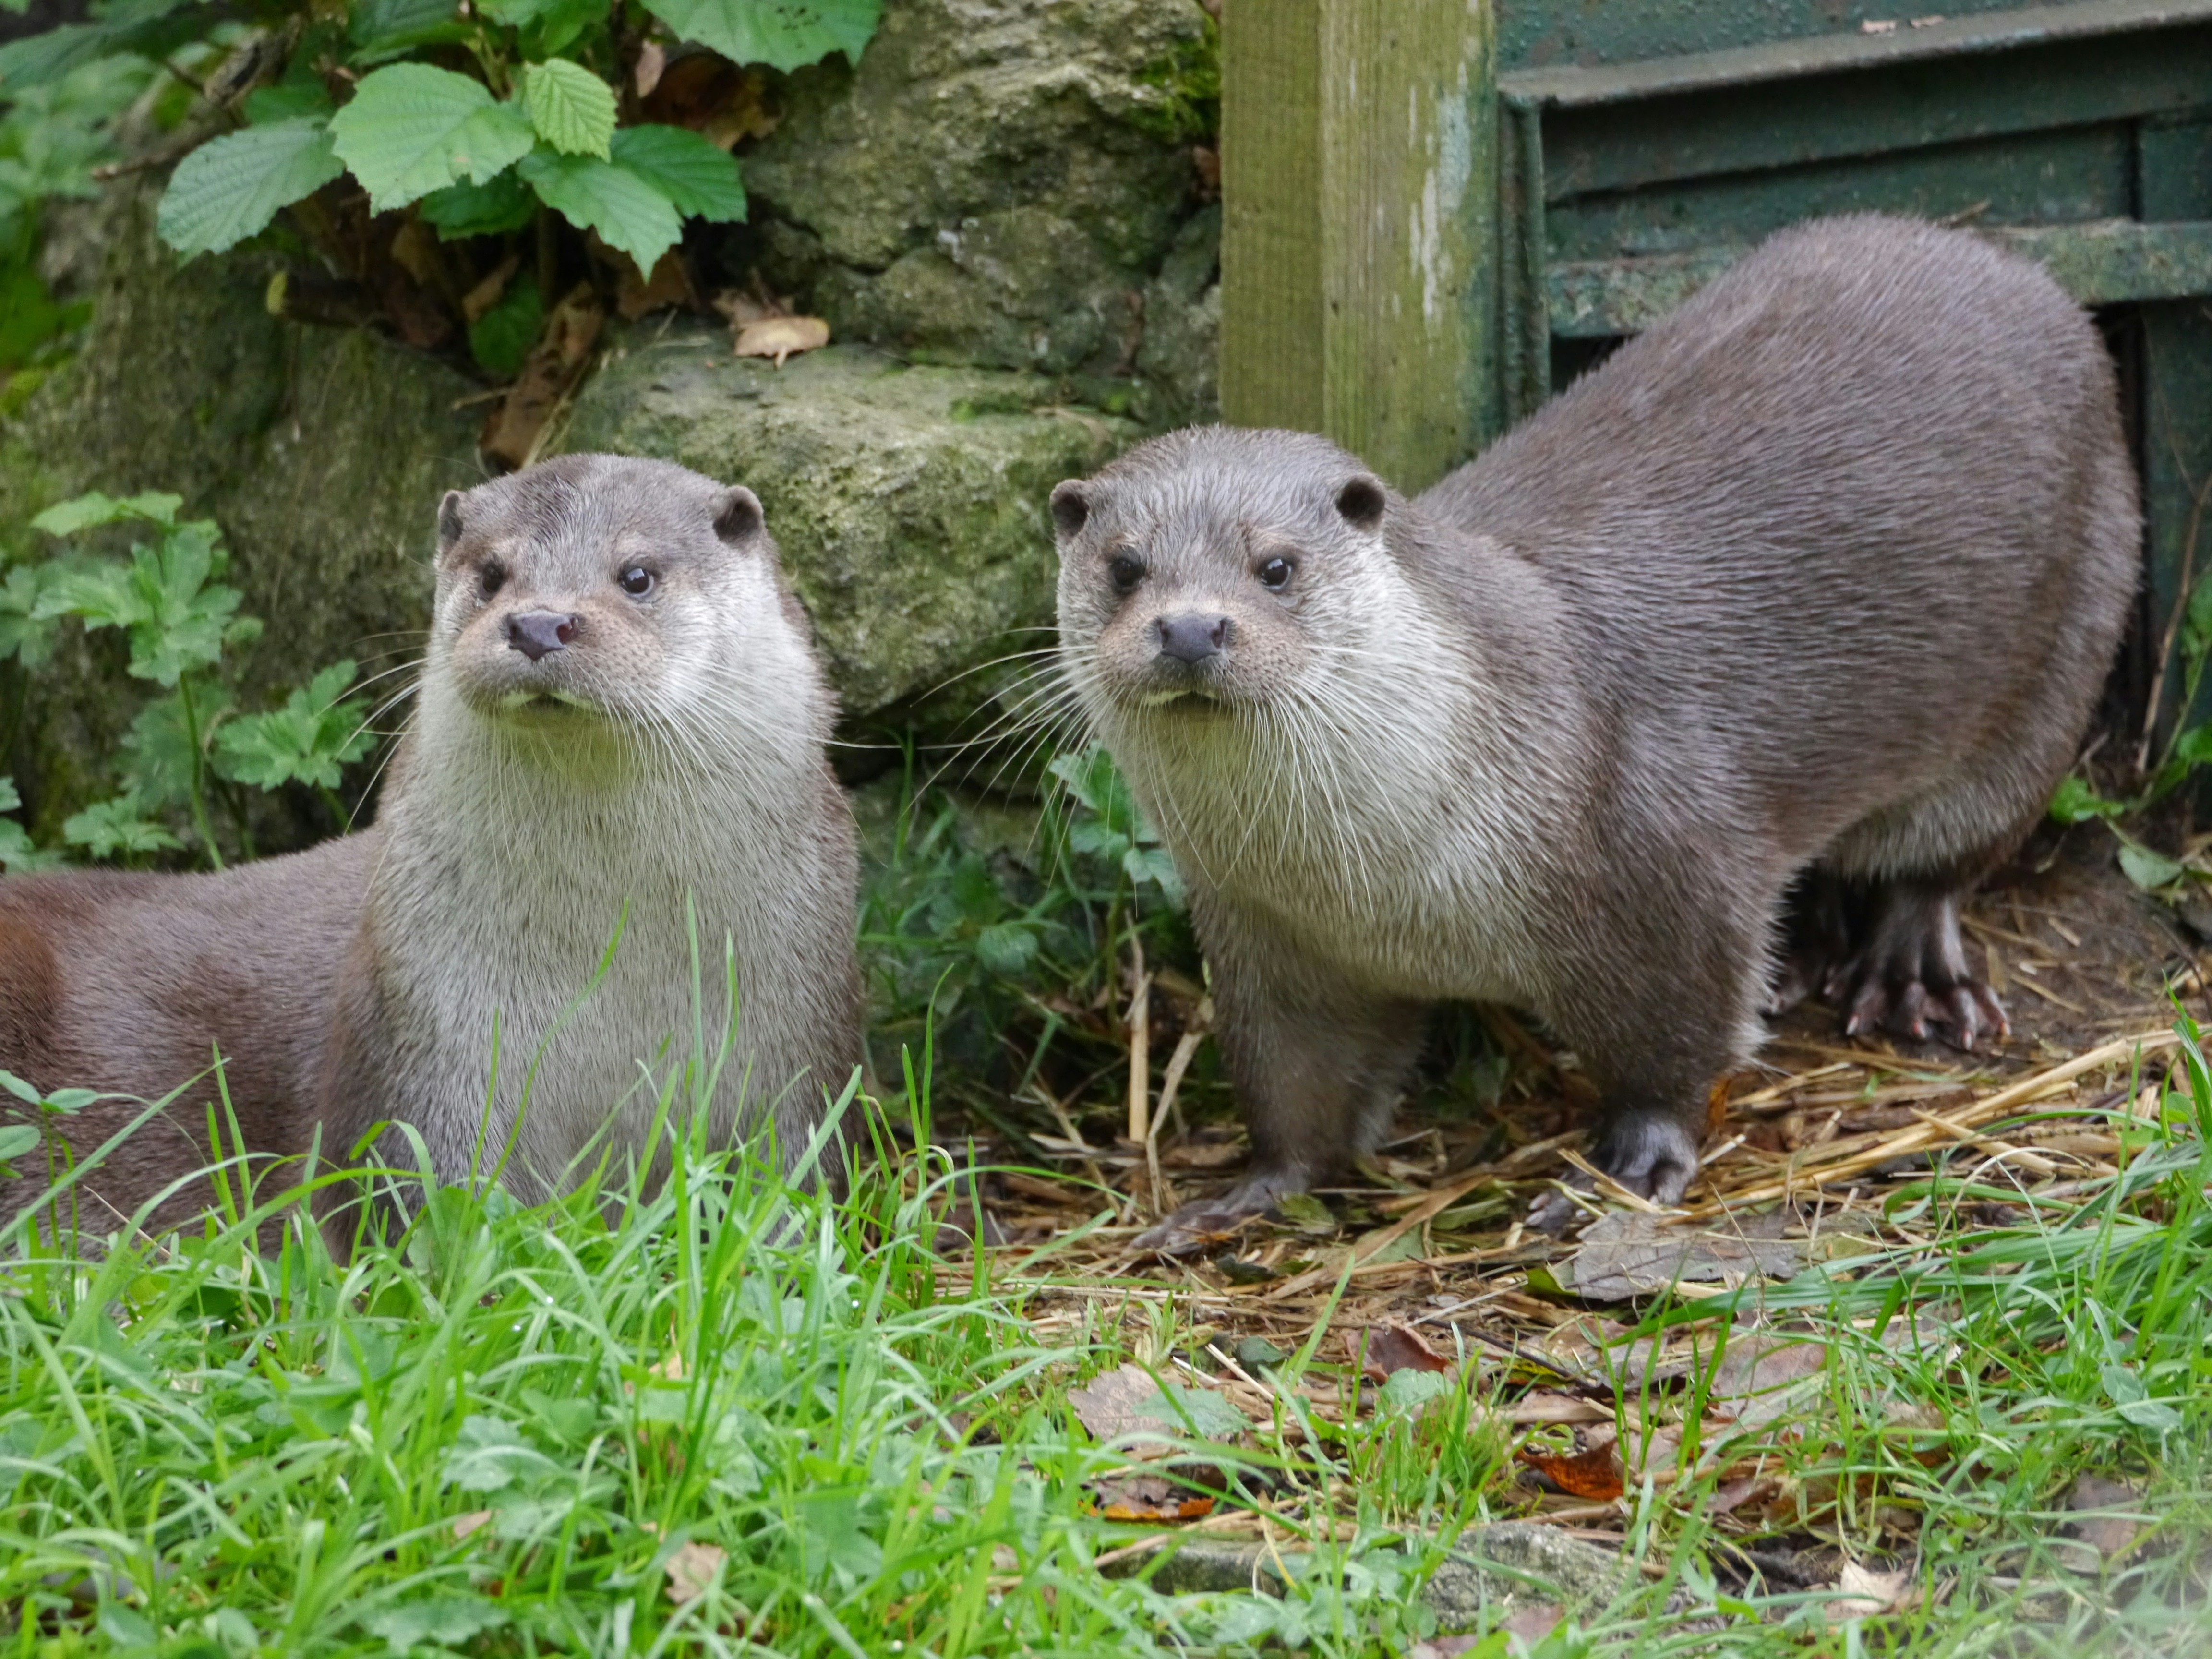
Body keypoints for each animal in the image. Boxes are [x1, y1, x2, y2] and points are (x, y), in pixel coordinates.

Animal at [0, 454, 861, 1234]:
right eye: (492, 573)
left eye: (638, 575)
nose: (538, 623)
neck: (612, 980)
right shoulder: (422, 1047)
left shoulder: (800, 1065)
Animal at [1050, 216, 2139, 1251]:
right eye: (1124, 567)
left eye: (1275, 567)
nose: (1192, 626)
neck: (1384, 888)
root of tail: (2007, 259)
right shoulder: (1273, 941)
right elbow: (1294, 1090)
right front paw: (1243, 1195)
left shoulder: (1659, 865)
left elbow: (1675, 1047)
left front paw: (1628, 1167)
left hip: (2060, 652)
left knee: (1946, 854)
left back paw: (1907, 973)